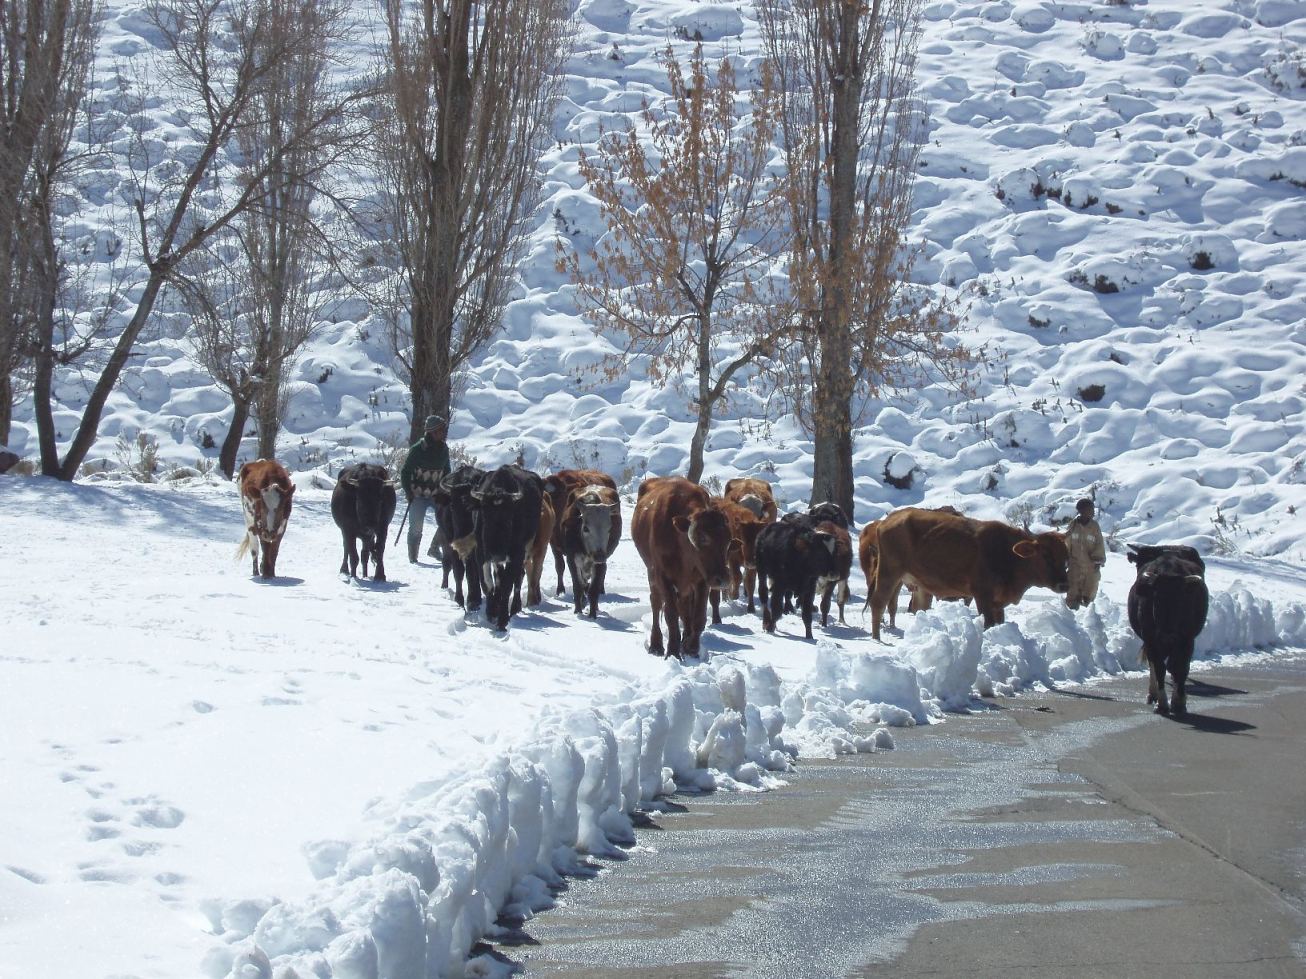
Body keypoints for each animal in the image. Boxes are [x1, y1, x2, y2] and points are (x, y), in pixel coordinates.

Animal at [430, 467, 488, 613]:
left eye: (471, 509)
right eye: (452, 506)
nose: (461, 540)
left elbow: (473, 571)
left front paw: (473, 601)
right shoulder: (451, 543)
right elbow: (458, 571)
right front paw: (459, 601)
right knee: (446, 564)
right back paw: (444, 586)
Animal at [470, 469, 540, 637]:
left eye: (509, 517)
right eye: (485, 514)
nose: (497, 554)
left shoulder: (516, 555)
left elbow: (508, 585)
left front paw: (502, 621)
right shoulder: (481, 554)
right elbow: (488, 583)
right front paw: (490, 612)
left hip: (525, 551)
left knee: (519, 576)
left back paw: (514, 608)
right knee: (499, 577)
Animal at [861, 506, 1065, 644]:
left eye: (1065, 555)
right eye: (1045, 554)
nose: (1063, 584)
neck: (1007, 553)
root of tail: (886, 521)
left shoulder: (998, 603)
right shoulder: (982, 595)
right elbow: (988, 622)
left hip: (906, 581)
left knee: (901, 605)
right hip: (889, 573)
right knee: (878, 602)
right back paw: (877, 639)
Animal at [1128, 545, 1206, 720]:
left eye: (1182, 600)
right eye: (1156, 599)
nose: (1167, 634)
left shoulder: (1187, 639)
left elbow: (1180, 668)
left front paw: (1179, 702)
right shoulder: (1151, 639)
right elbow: (1159, 668)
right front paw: (1162, 704)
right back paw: (1153, 695)